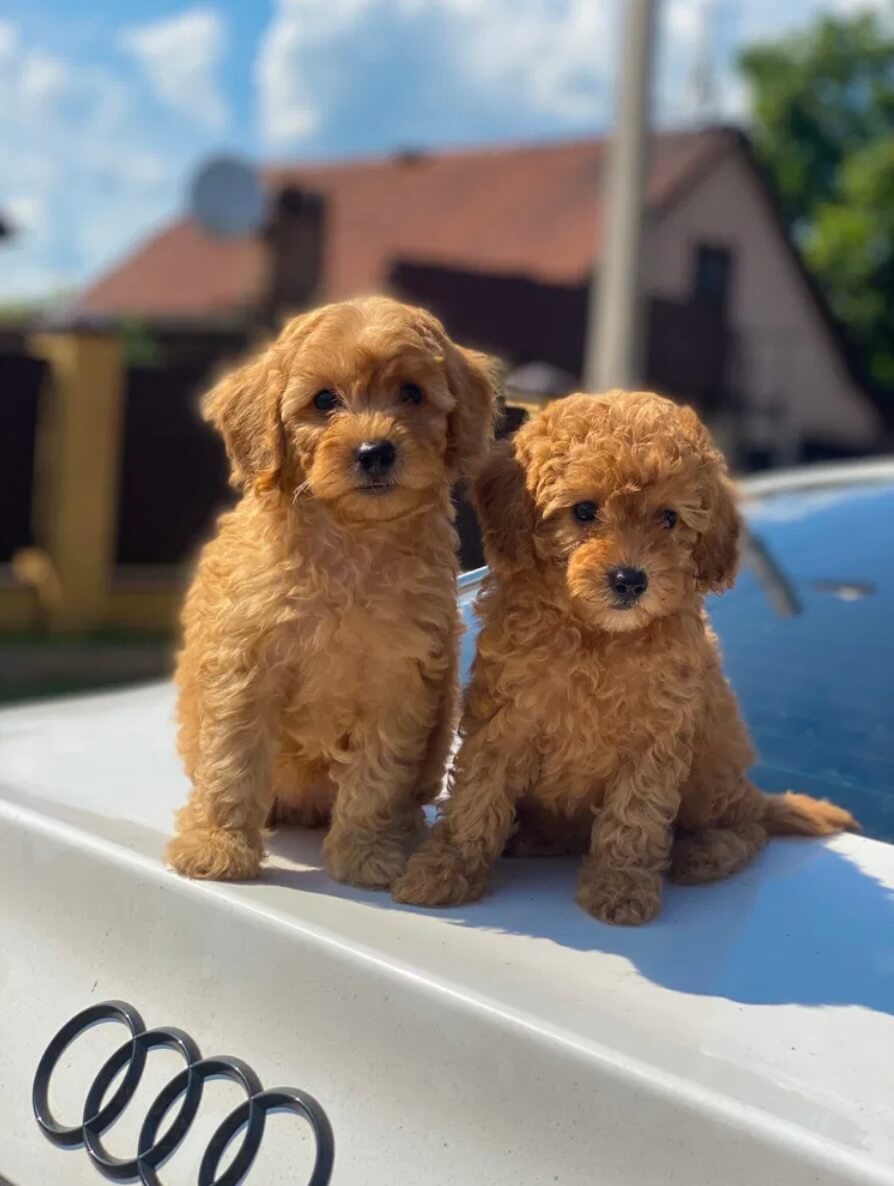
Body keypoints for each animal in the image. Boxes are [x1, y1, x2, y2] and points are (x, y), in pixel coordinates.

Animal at [167, 296, 495, 891]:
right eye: (324, 401)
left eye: (412, 393)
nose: (374, 451)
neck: (350, 539)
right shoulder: (245, 667)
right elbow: (233, 761)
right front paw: (216, 846)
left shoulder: (400, 677)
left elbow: (379, 774)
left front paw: (367, 854)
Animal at [393, 391, 853, 925]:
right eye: (584, 511)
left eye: (669, 518)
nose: (631, 580)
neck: (597, 636)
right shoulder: (506, 720)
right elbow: (476, 795)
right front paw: (445, 870)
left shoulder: (656, 734)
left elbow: (635, 814)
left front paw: (621, 886)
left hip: (714, 772)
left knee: (748, 827)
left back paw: (703, 852)